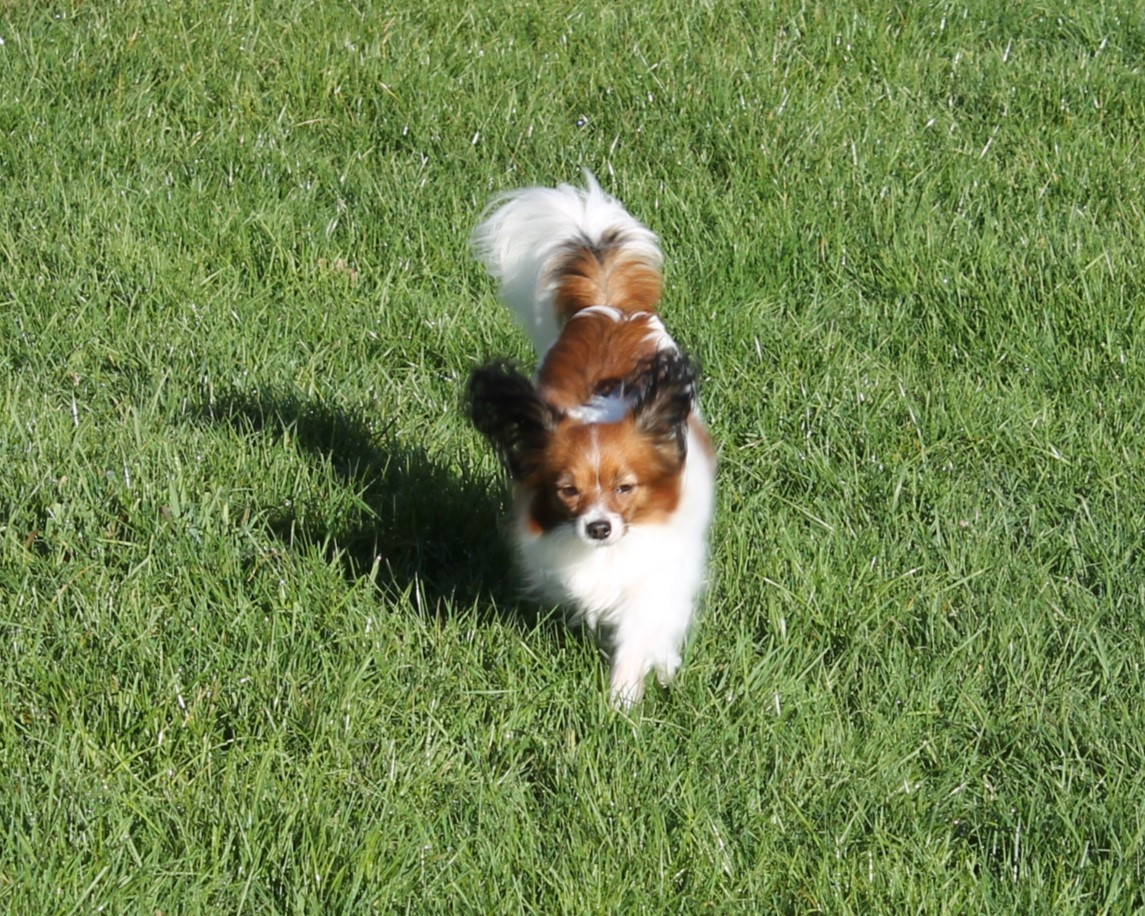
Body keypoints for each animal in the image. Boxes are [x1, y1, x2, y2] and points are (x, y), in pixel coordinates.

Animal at [467, 172, 715, 708]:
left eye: (625, 489)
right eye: (568, 491)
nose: (598, 528)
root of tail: (610, 307)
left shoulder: (660, 575)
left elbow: (644, 632)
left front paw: (625, 697)